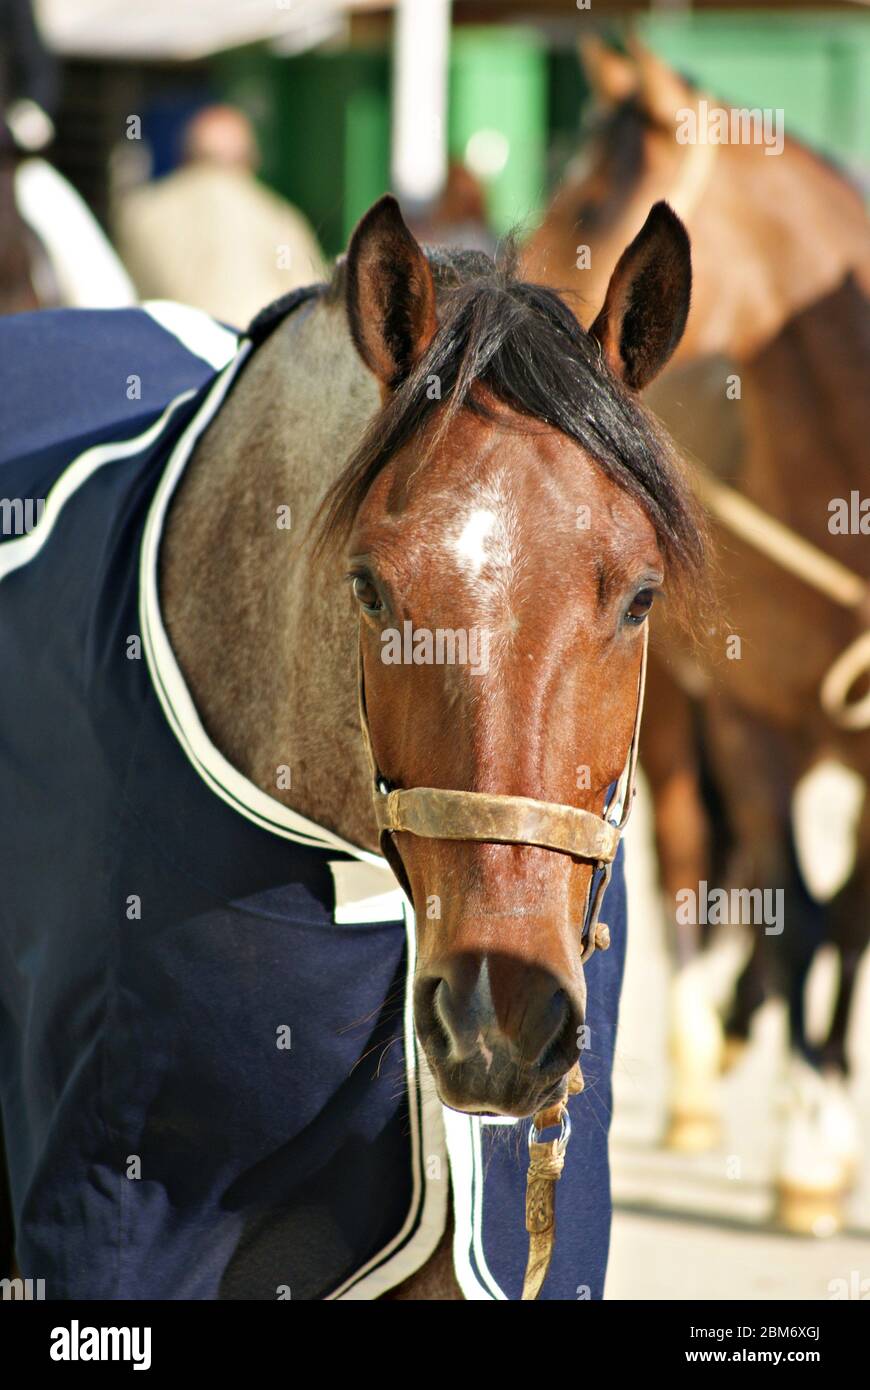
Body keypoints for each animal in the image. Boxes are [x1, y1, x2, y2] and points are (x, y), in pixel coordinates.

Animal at [522, 35, 867, 1228]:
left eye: (586, 198)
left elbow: (848, 914)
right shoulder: (759, 713)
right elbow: (798, 911)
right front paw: (809, 1141)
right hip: (667, 705)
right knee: (689, 851)